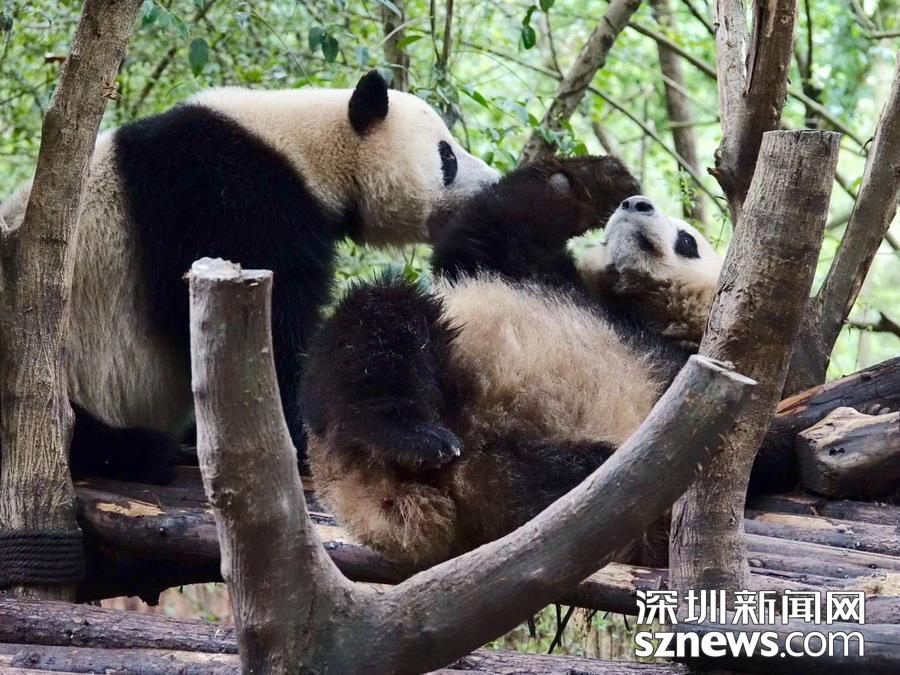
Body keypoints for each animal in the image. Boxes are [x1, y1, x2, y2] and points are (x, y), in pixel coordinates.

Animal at [0, 70, 498, 484]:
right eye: (447, 157)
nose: (492, 183)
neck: (304, 149)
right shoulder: (232, 202)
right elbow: (275, 335)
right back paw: (145, 453)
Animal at [301, 155, 730, 568]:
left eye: (687, 240)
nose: (637, 205)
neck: (638, 311)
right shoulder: (539, 278)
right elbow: (487, 233)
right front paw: (604, 178)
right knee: (381, 324)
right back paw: (412, 435)